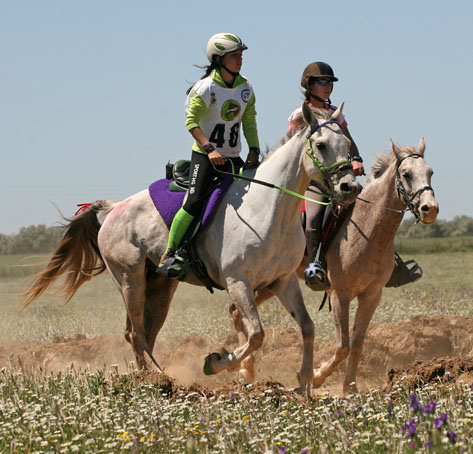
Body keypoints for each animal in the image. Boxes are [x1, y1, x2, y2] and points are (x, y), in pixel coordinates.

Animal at [24, 104, 360, 392]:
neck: (268, 209)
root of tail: (115, 207)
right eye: (321, 145)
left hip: (160, 287)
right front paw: (218, 362)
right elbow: (256, 334)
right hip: (130, 280)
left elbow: (306, 327)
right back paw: (154, 381)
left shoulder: (283, 280)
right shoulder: (238, 282)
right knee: (136, 333)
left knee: (144, 332)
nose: (350, 187)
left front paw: (304, 383)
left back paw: (154, 377)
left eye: (346, 144)